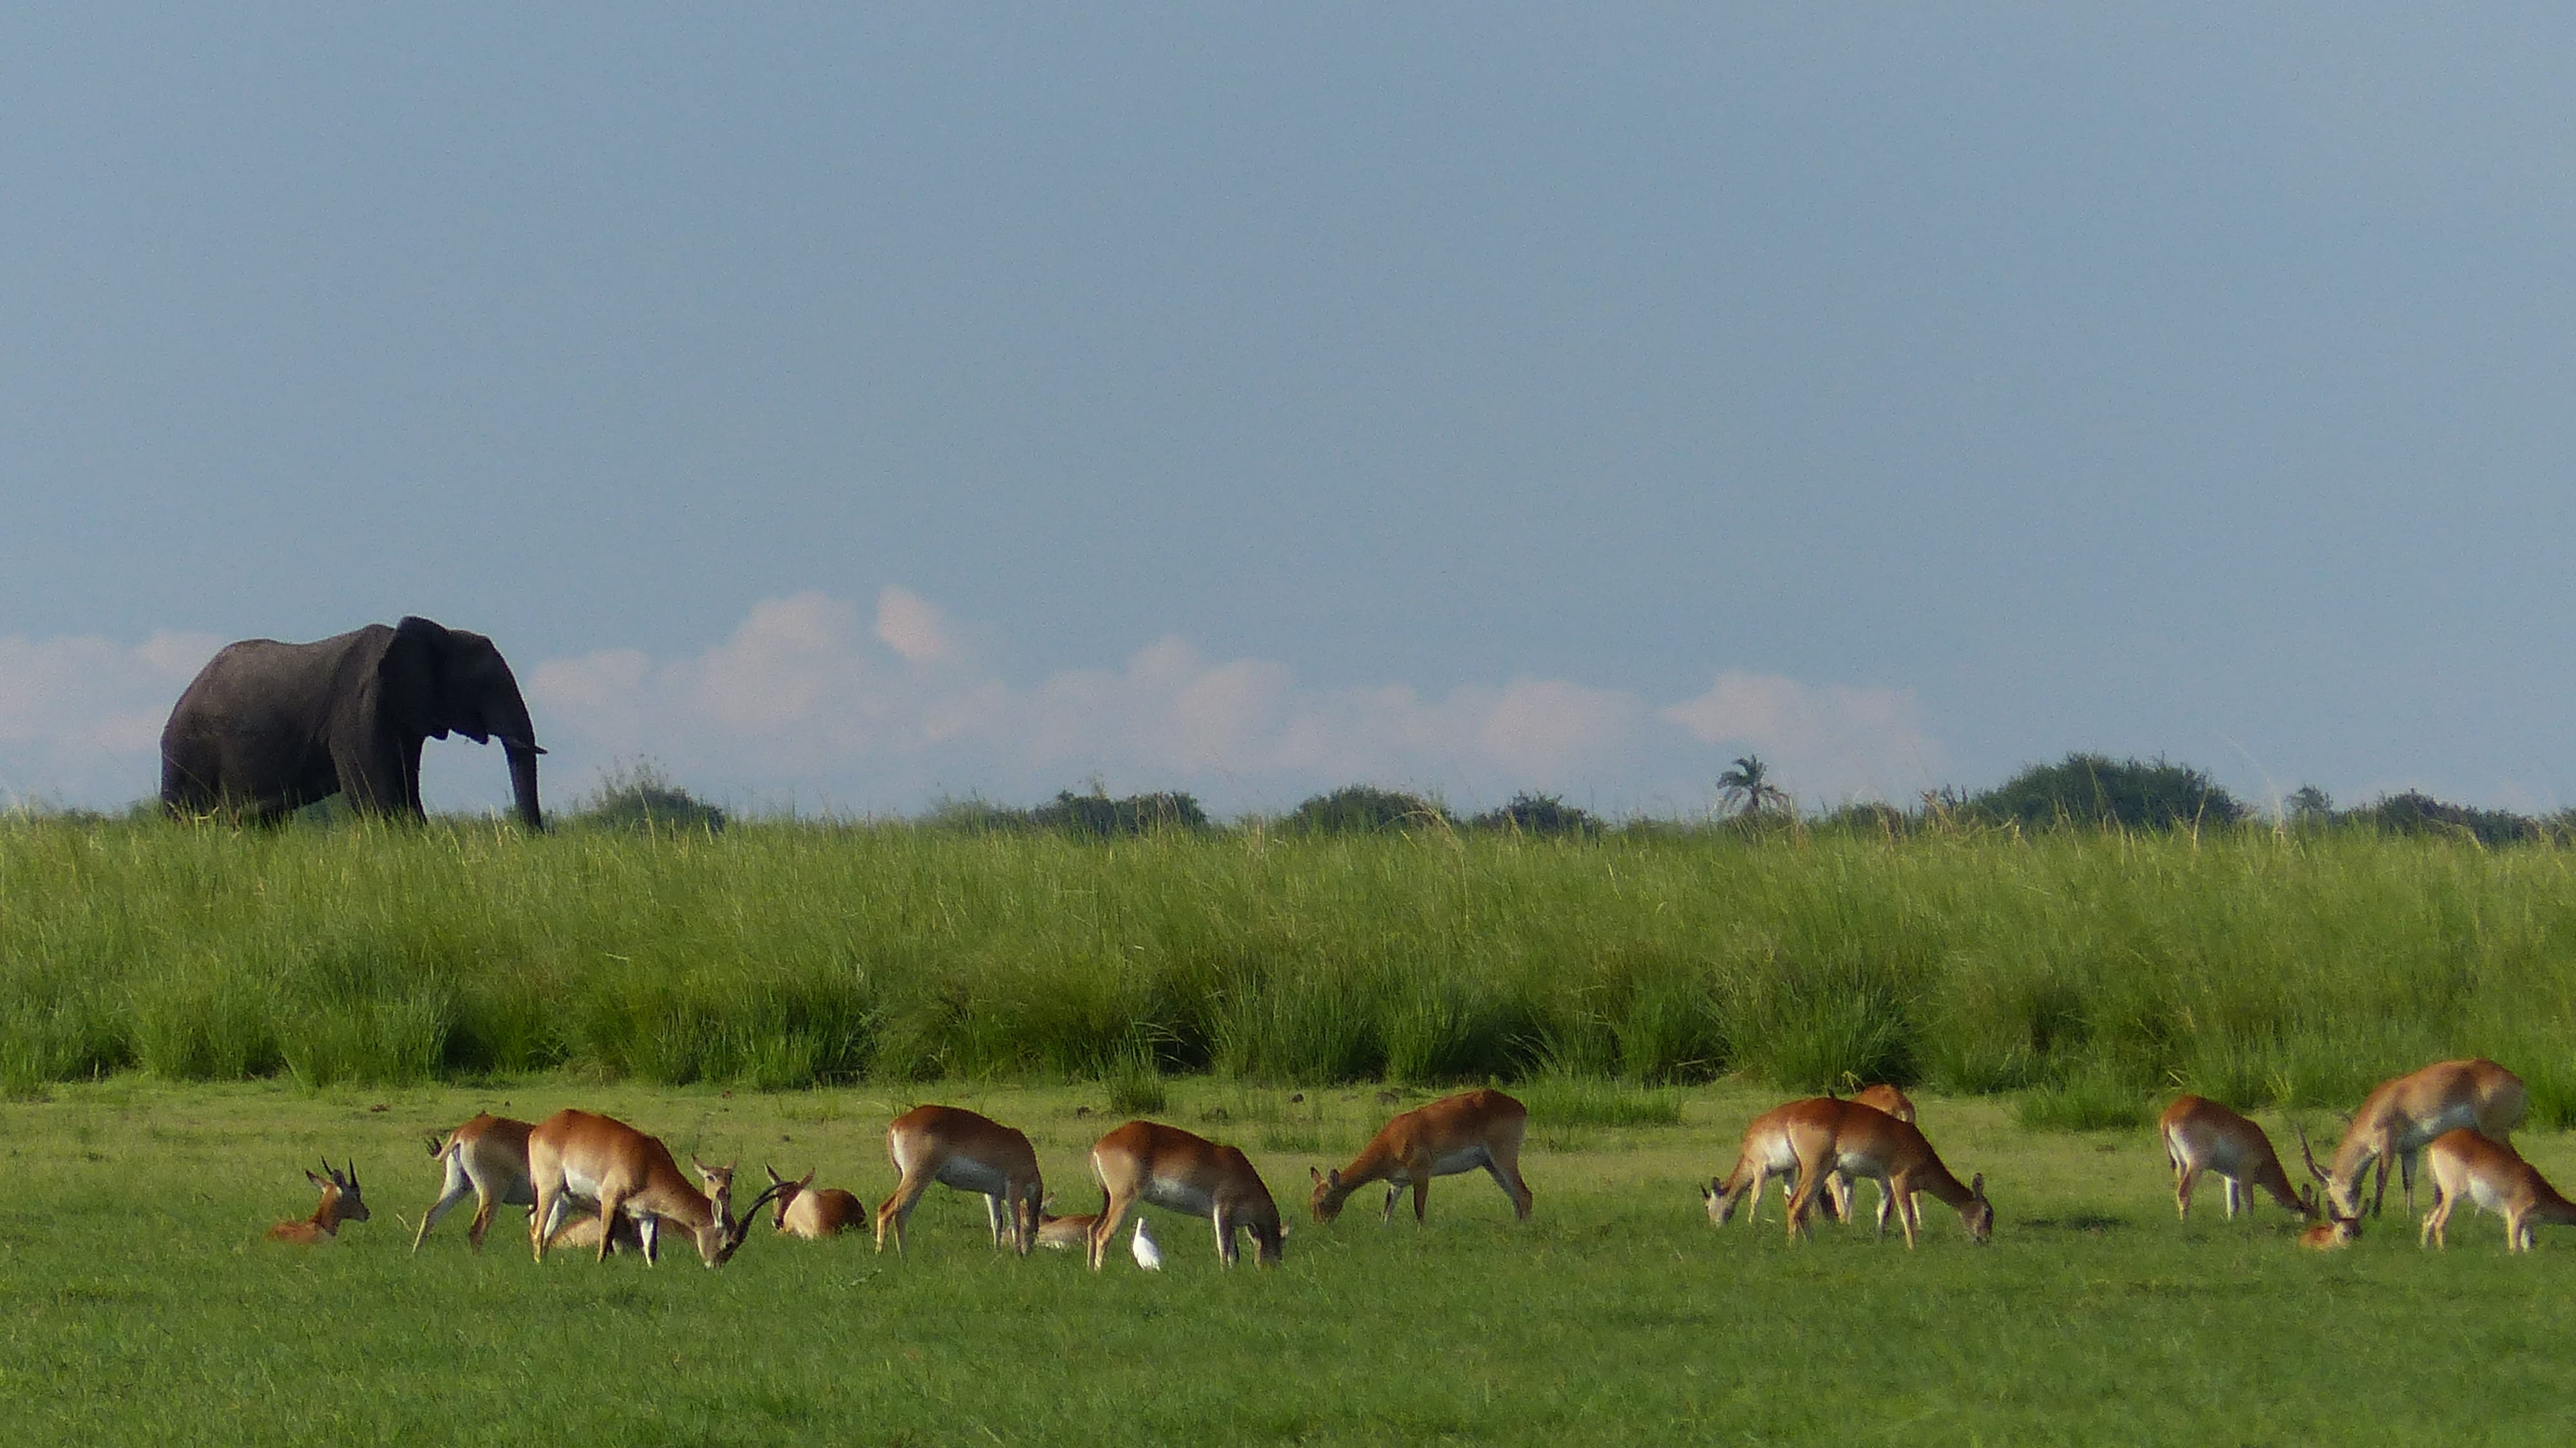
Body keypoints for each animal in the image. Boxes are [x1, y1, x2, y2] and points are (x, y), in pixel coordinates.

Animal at [160, 616, 545, 828]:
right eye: (483, 685)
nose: (531, 834)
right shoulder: (357, 706)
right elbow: (377, 798)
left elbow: (405, 789)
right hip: (188, 750)